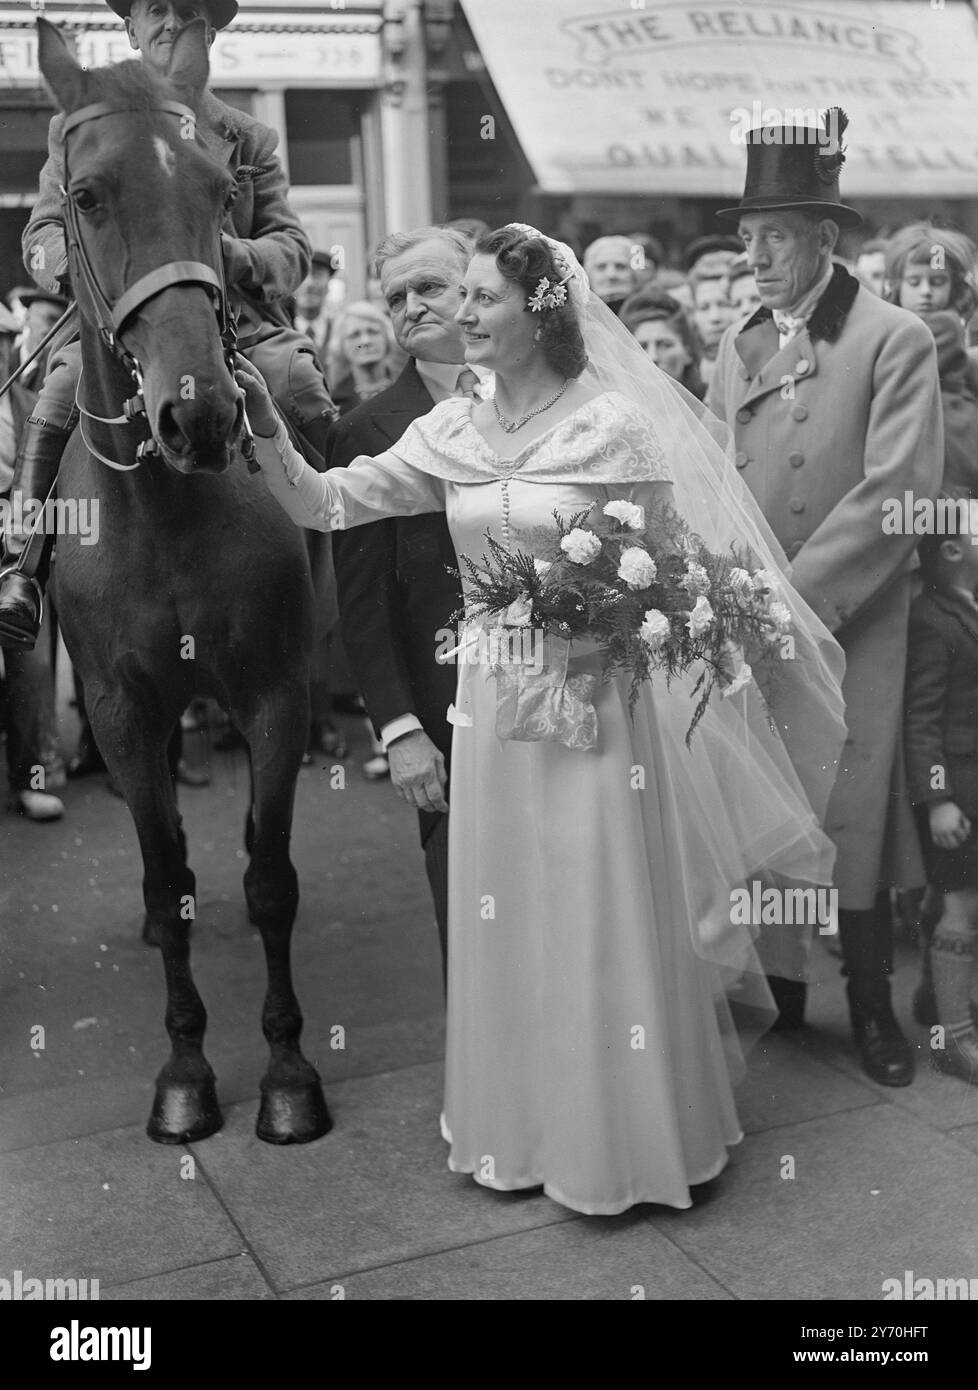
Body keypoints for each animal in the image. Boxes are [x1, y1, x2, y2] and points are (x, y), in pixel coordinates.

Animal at [36, 16, 330, 1145]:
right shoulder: (119, 709)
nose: (199, 413)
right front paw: (187, 1071)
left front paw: (288, 1071)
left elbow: (274, 879)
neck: (168, 512)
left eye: (217, 187)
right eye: (85, 195)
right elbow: (167, 889)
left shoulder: (276, 689)